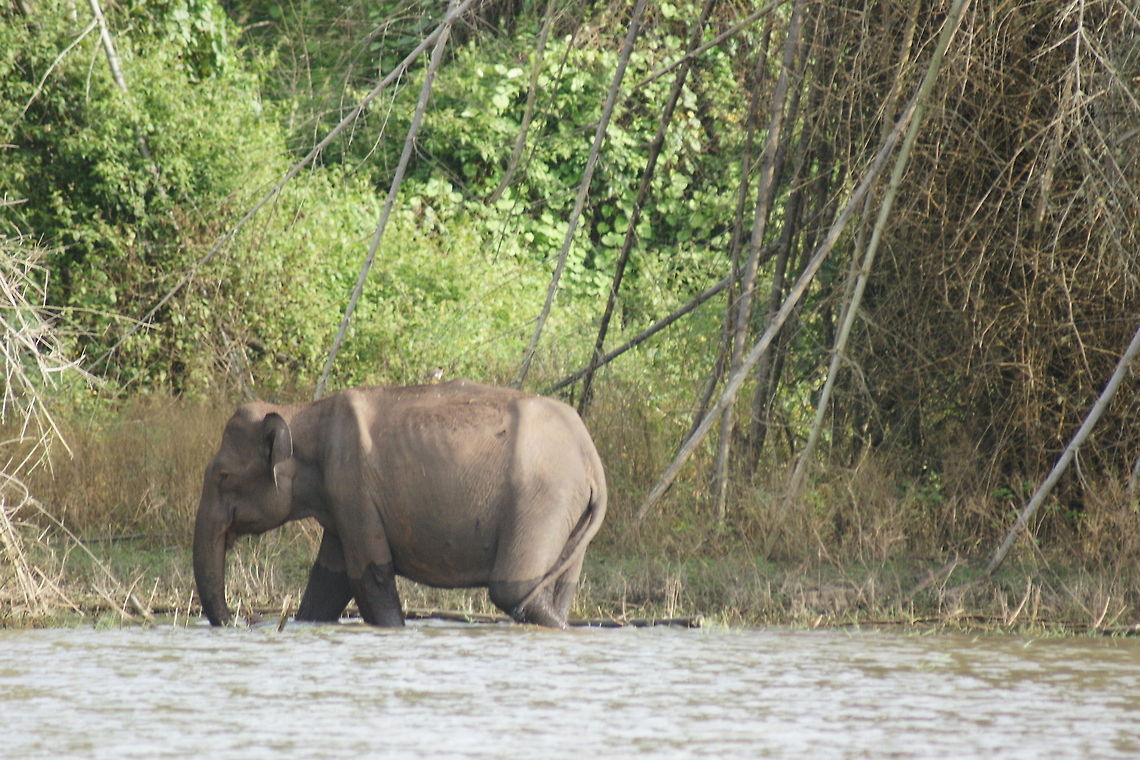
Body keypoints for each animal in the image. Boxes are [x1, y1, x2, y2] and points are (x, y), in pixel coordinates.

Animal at [192, 380, 607, 628]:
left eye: (223, 477)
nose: (241, 622)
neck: (301, 413)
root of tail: (592, 462)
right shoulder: (342, 501)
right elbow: (327, 583)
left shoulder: (353, 485)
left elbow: (370, 576)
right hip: (567, 511)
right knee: (553, 589)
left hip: (542, 497)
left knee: (512, 590)